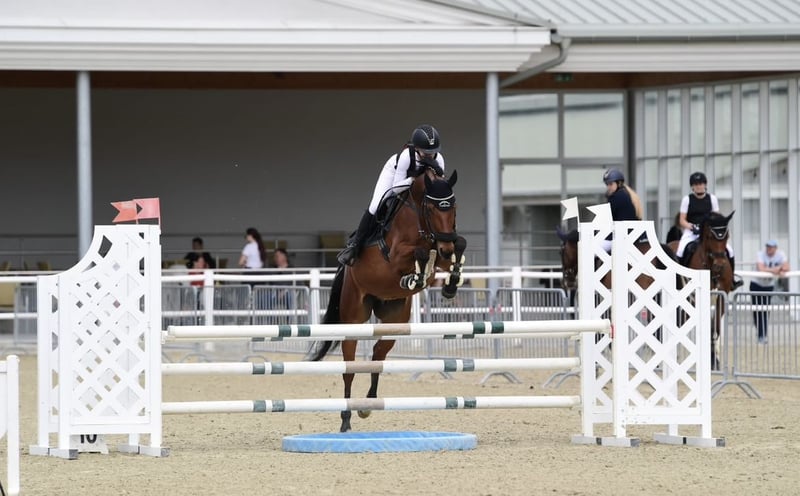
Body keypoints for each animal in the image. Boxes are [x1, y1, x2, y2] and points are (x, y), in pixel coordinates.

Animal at [308, 164, 467, 432]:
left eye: (453, 207)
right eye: (432, 208)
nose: (445, 248)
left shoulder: (442, 252)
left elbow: (460, 246)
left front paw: (450, 284)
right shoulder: (395, 256)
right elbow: (420, 252)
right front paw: (415, 278)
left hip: (395, 320)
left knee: (378, 354)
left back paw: (368, 405)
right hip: (354, 318)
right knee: (349, 368)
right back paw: (346, 419)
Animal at [668, 211, 735, 370]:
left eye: (726, 236)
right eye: (710, 236)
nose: (720, 265)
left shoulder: (721, 297)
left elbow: (715, 327)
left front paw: (714, 360)